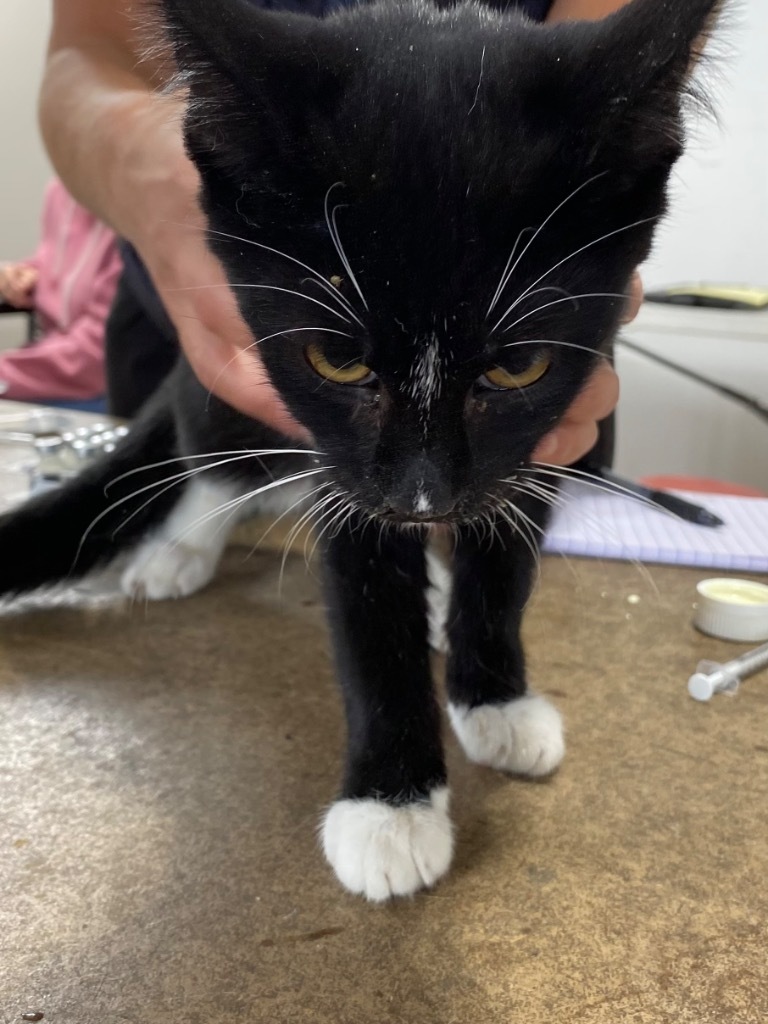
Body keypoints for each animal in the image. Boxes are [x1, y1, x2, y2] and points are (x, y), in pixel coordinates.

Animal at [0, 0, 720, 897]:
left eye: (519, 366)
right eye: (336, 362)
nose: (422, 498)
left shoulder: (559, 419)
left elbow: (506, 556)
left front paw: (494, 696)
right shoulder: (339, 458)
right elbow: (367, 598)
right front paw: (391, 804)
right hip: (215, 376)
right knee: (214, 457)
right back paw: (181, 551)